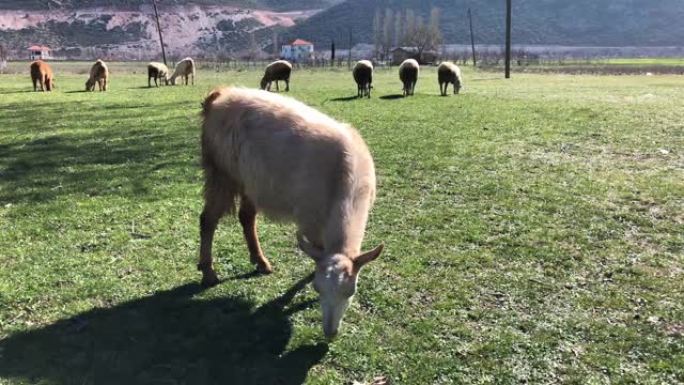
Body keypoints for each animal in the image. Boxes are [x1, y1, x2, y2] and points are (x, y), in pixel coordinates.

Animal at [199, 86, 384, 336]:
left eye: (351, 291)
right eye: (317, 289)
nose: (330, 332)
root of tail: (220, 95)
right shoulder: (310, 221)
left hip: (251, 180)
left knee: (246, 217)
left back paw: (260, 262)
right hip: (221, 172)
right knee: (208, 220)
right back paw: (208, 272)